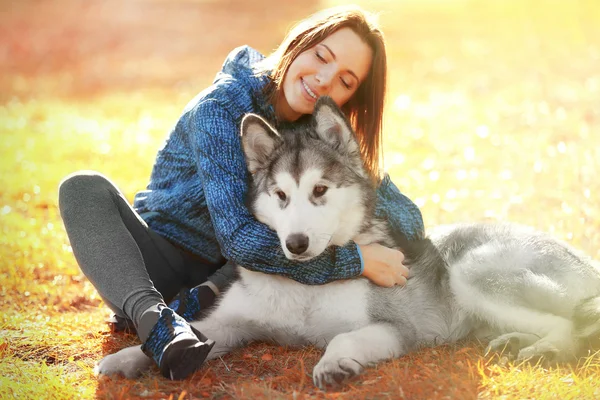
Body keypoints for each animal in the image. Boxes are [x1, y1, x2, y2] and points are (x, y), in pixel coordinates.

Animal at [96, 96, 600, 388]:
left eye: (319, 190)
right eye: (281, 195)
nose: (296, 244)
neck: (306, 284)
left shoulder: (399, 328)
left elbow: (342, 339)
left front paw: (334, 365)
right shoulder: (232, 321)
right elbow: (195, 330)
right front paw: (129, 358)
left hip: (472, 270)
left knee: (572, 328)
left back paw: (545, 348)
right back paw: (514, 340)